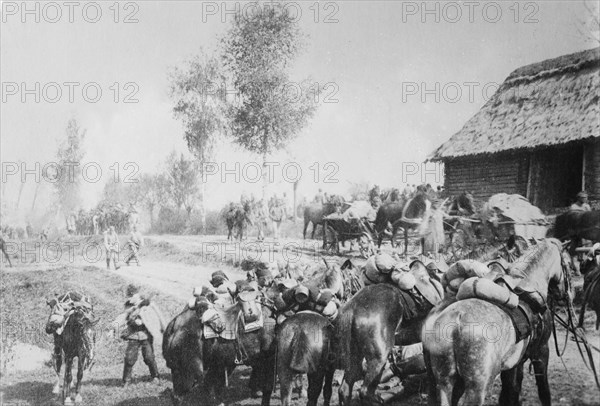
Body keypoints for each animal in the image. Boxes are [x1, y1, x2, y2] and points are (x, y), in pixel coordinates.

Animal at [422, 238, 572, 406]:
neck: (530, 287)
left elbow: (511, 391)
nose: (565, 295)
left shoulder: (514, 363)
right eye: (568, 264)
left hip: (444, 382)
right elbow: (543, 391)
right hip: (477, 387)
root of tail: (455, 321)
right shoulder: (541, 351)